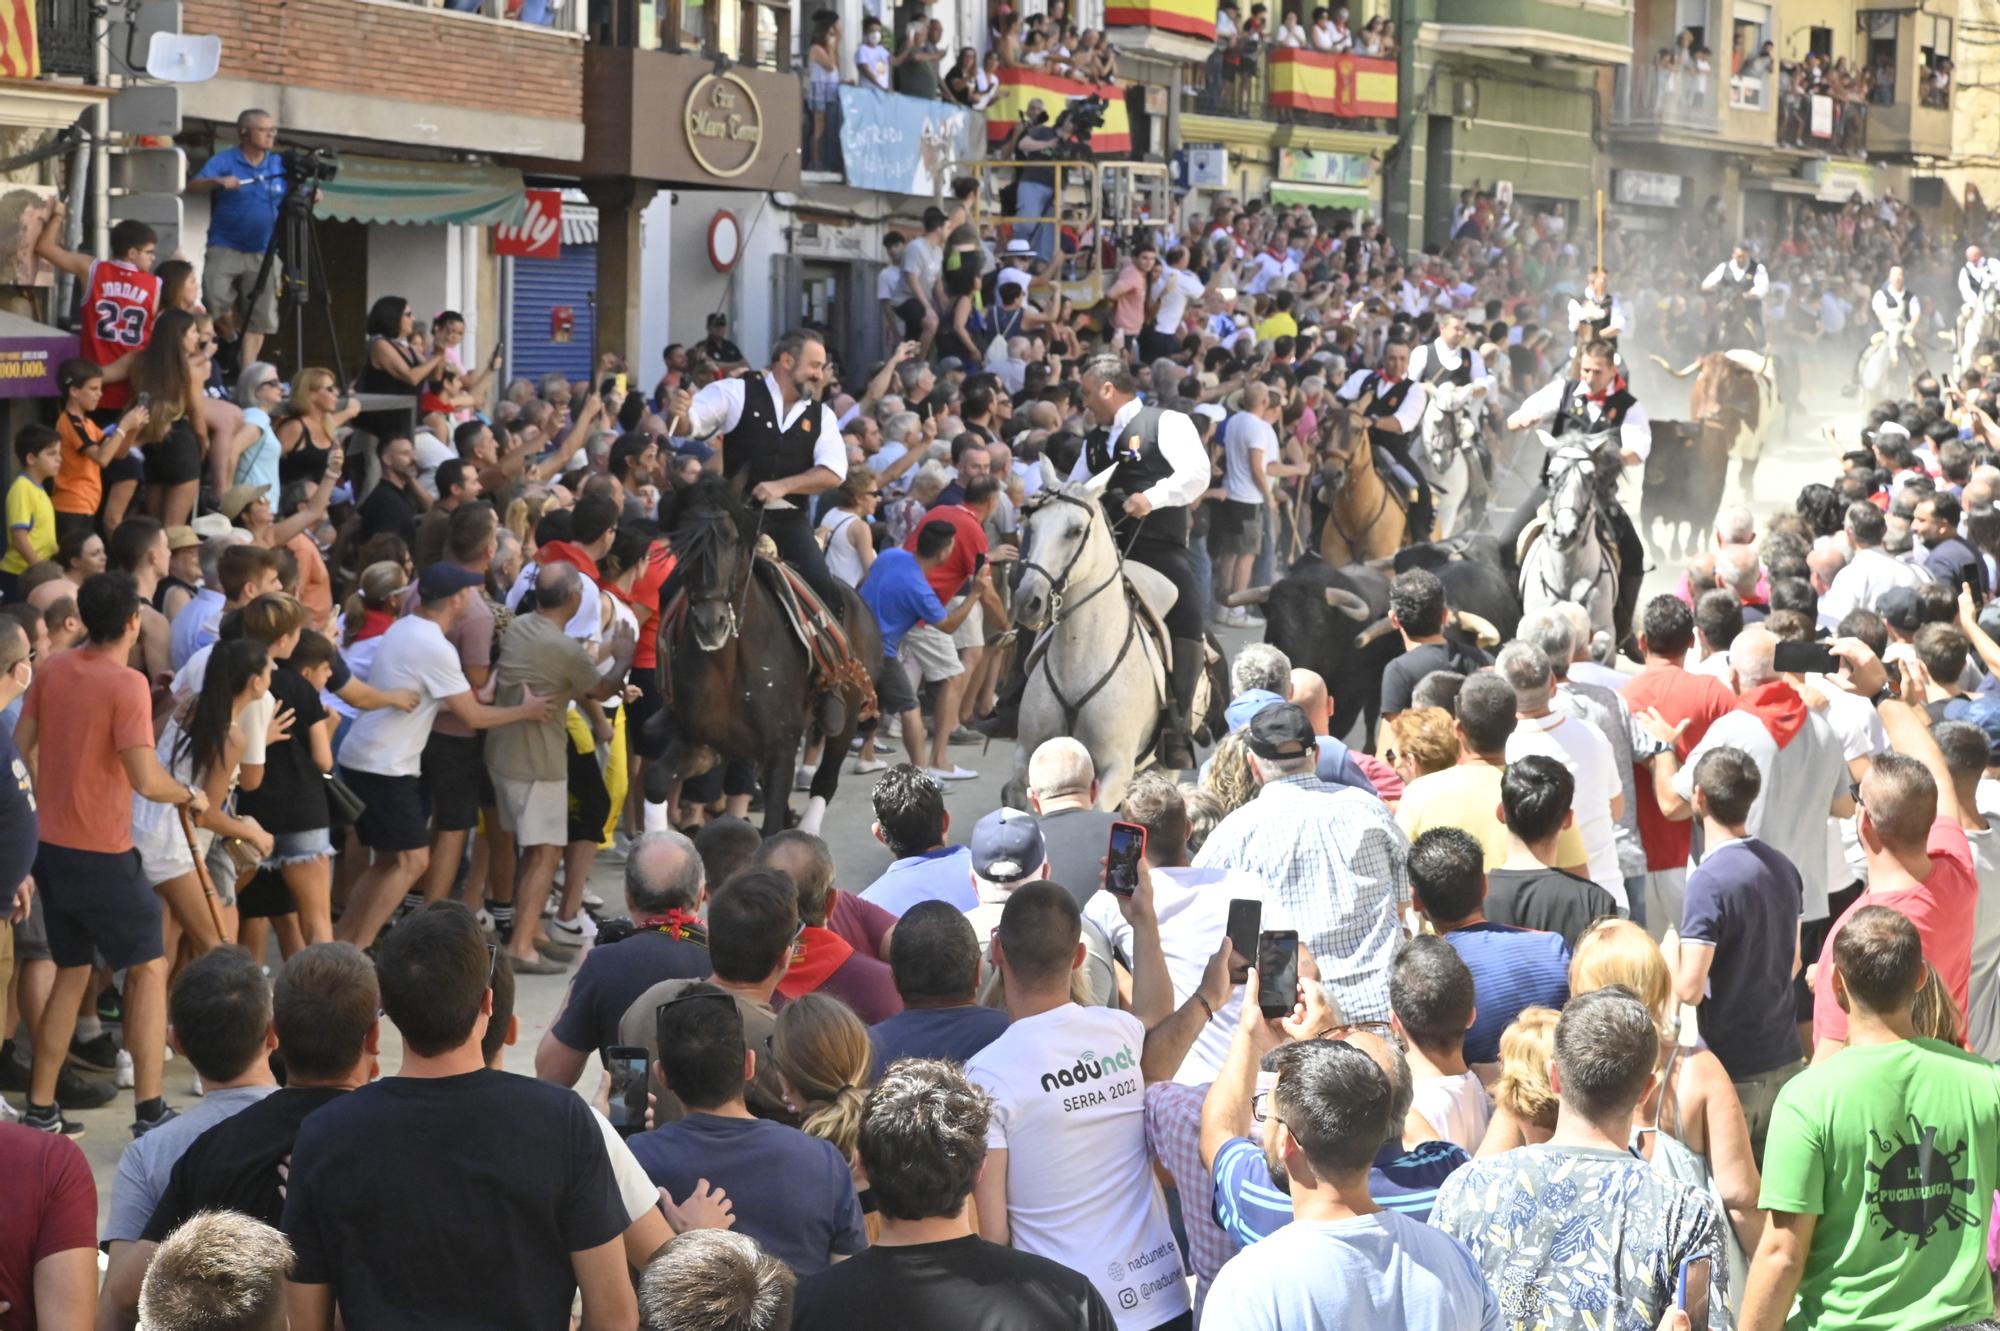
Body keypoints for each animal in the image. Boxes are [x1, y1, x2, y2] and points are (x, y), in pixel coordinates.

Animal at [648, 477, 884, 831]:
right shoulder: (702, 742)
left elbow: (772, 827)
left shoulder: (780, 750)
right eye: (680, 543)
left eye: (732, 539)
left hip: (848, 716)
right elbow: (658, 780)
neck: (728, 665)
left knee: (826, 780)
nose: (711, 623)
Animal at [1016, 465, 1168, 807]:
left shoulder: (1117, 768)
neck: (1080, 659)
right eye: (1033, 524)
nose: (1027, 602)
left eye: (1074, 531)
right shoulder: (1028, 756)